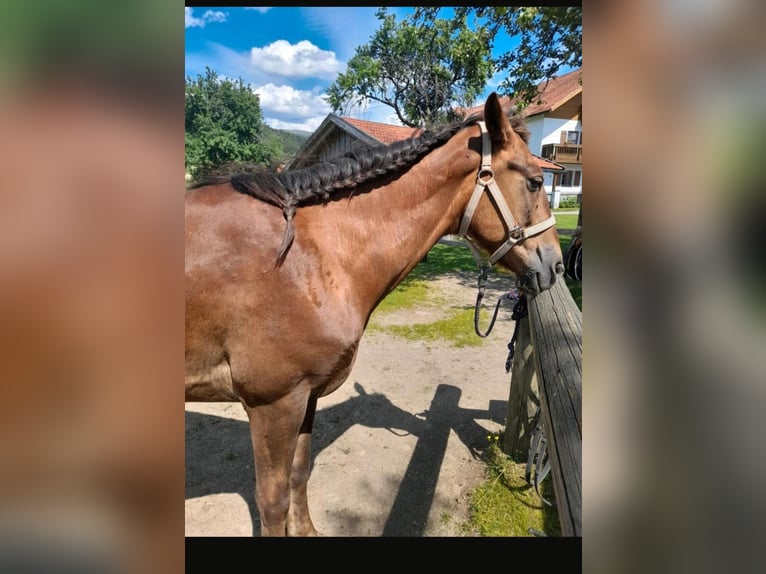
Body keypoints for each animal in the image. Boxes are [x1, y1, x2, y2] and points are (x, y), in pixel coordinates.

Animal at [185, 92, 564, 536]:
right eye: (535, 181)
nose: (556, 265)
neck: (305, 257)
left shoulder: (305, 397)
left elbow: (300, 472)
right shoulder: (273, 405)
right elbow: (273, 502)